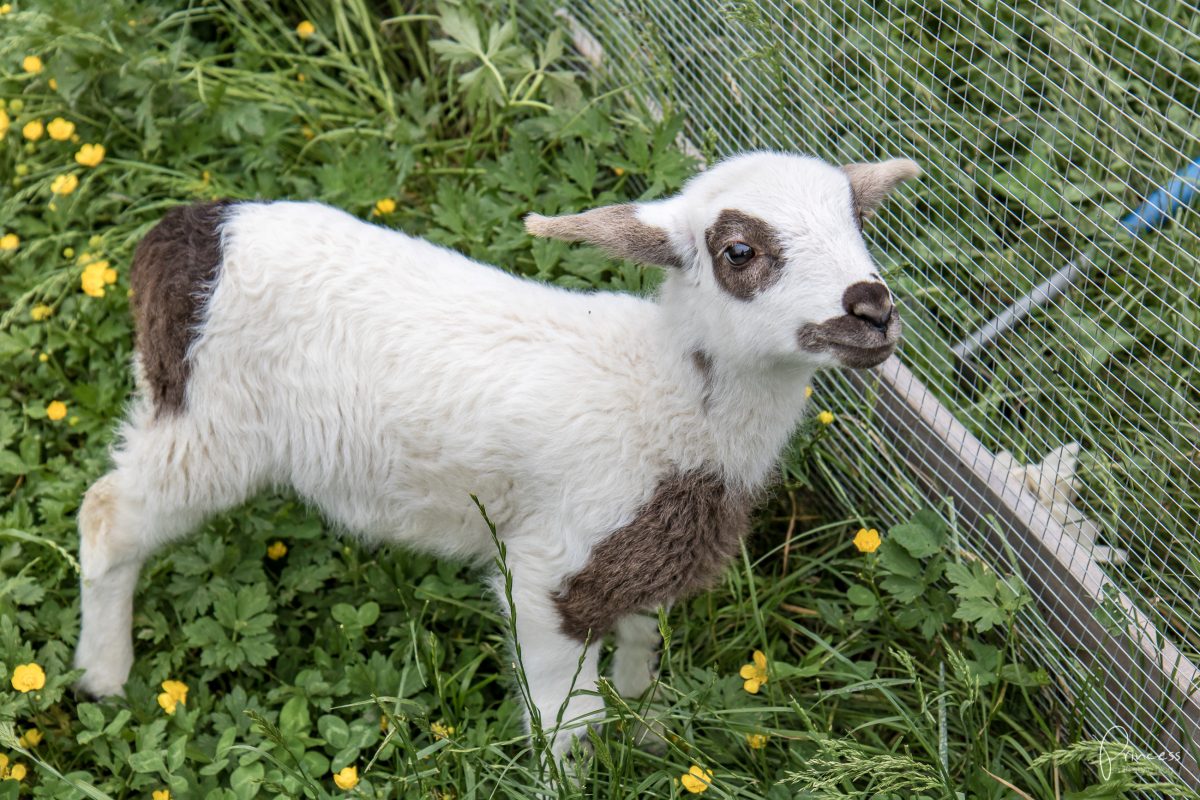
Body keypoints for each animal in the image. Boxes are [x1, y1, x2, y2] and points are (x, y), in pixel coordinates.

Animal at [75, 149, 916, 758]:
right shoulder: (548, 573)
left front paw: (651, 737)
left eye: (858, 221)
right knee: (107, 516)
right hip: (207, 428)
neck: (661, 395)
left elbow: (642, 654)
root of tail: (185, 235)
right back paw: (103, 678)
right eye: (738, 251)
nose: (871, 309)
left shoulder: (645, 554)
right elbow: (567, 723)